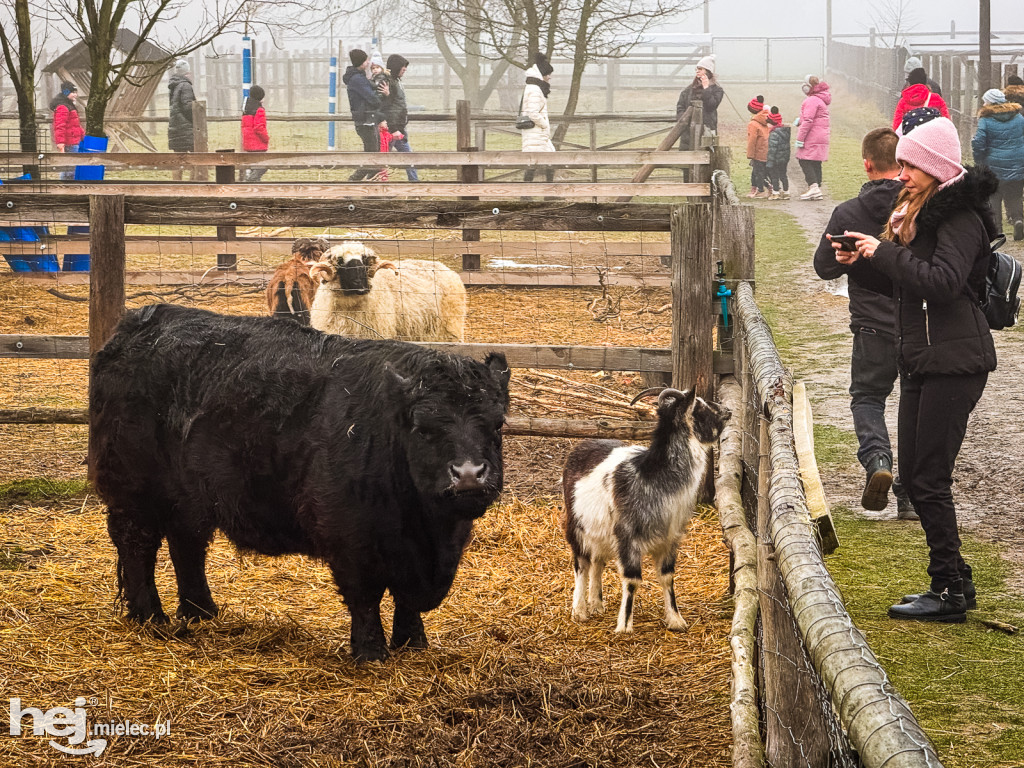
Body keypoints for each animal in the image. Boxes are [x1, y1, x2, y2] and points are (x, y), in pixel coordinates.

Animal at [90, 305, 509, 663]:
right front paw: (371, 653)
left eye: (497, 424)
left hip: (189, 499)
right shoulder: (350, 537)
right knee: (138, 546)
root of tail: (142, 322)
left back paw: (201, 611)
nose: (468, 474)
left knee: (187, 546)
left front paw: (413, 642)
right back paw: (149, 616)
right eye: (423, 429)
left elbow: (406, 601)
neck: (429, 533)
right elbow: (366, 596)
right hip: (133, 493)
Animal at [565, 387, 733, 634]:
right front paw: (625, 625)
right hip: (576, 526)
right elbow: (633, 580)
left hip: (601, 531)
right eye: (700, 407)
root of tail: (580, 446)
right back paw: (580, 610)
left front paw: (676, 620)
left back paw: (596, 604)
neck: (654, 477)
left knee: (598, 562)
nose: (727, 411)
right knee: (581, 564)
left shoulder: (670, 538)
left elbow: (667, 577)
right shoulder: (628, 538)